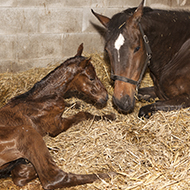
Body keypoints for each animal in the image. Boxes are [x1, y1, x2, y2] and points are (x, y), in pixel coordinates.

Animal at [0, 43, 114, 189]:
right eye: (91, 78)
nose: (105, 97)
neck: (42, 99)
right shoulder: (56, 127)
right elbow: (83, 114)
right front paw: (110, 116)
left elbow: (73, 105)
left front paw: (77, 104)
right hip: (25, 132)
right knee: (53, 178)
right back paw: (108, 174)